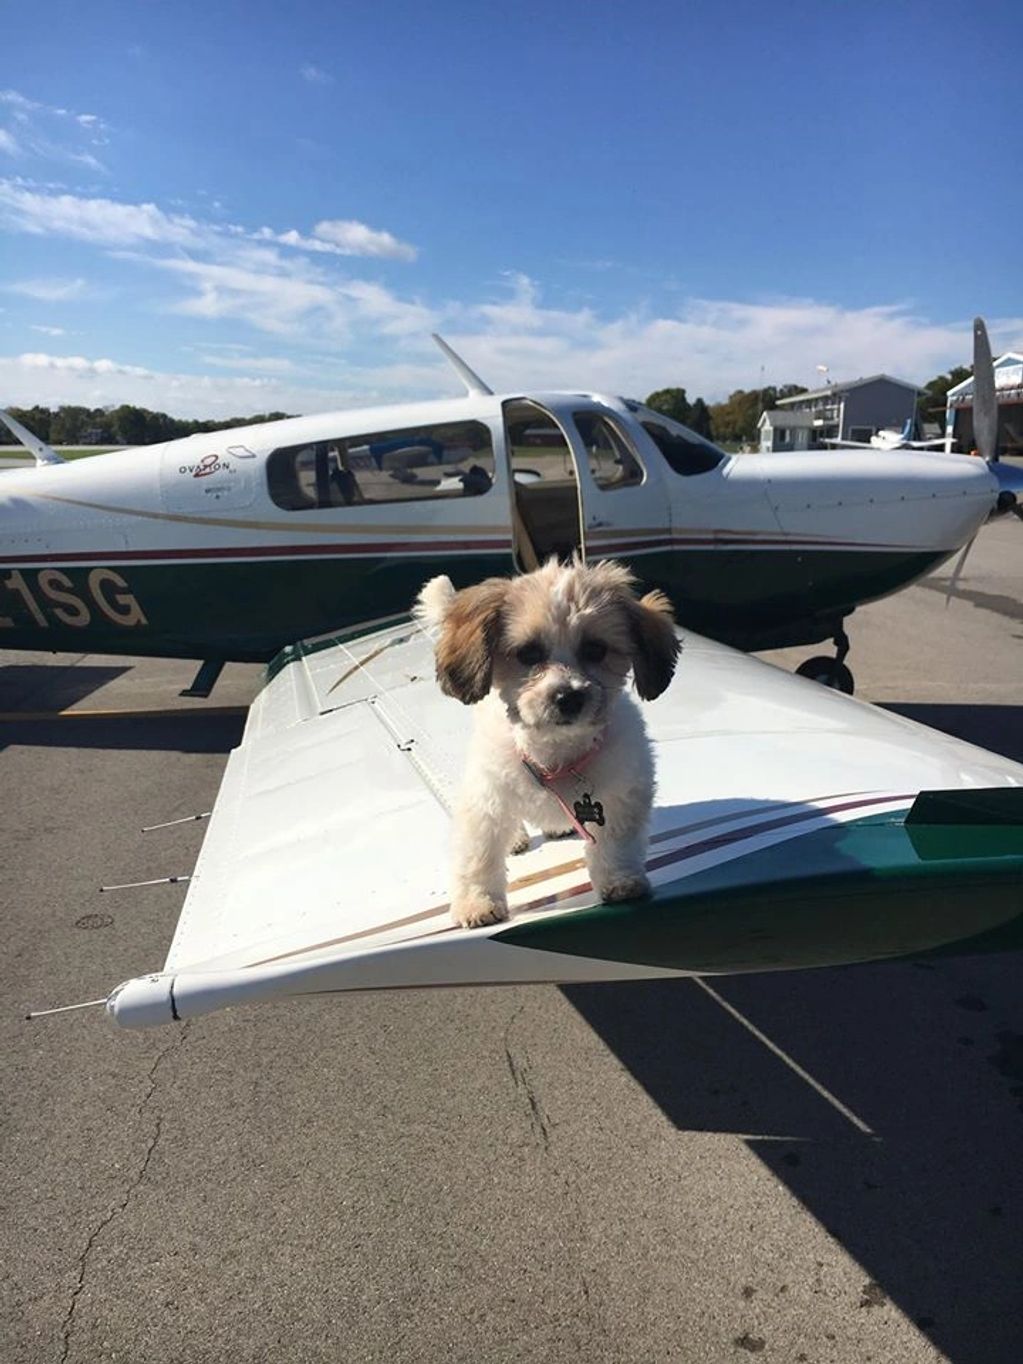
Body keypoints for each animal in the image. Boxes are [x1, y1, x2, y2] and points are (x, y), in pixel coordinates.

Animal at [417, 553, 682, 927]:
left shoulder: (622, 795)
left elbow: (616, 844)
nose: (568, 696)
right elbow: (479, 856)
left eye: (595, 649)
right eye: (528, 653)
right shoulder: (484, 801)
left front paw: (620, 880)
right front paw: (477, 903)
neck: (554, 753)